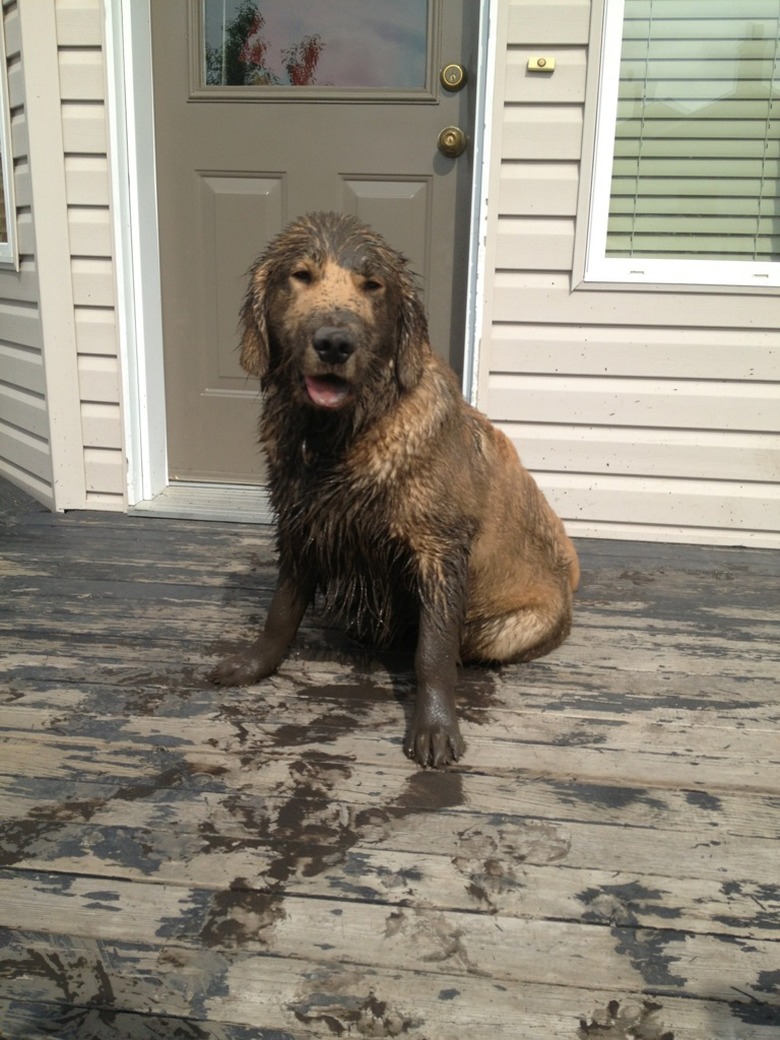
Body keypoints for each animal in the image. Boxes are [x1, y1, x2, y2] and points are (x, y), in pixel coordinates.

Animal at [209, 211, 582, 769]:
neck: (341, 434)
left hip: (515, 624)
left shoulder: (440, 548)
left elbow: (433, 650)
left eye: (372, 285)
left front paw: (435, 727)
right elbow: (281, 612)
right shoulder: (302, 523)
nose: (335, 343)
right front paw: (254, 664)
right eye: (301, 276)